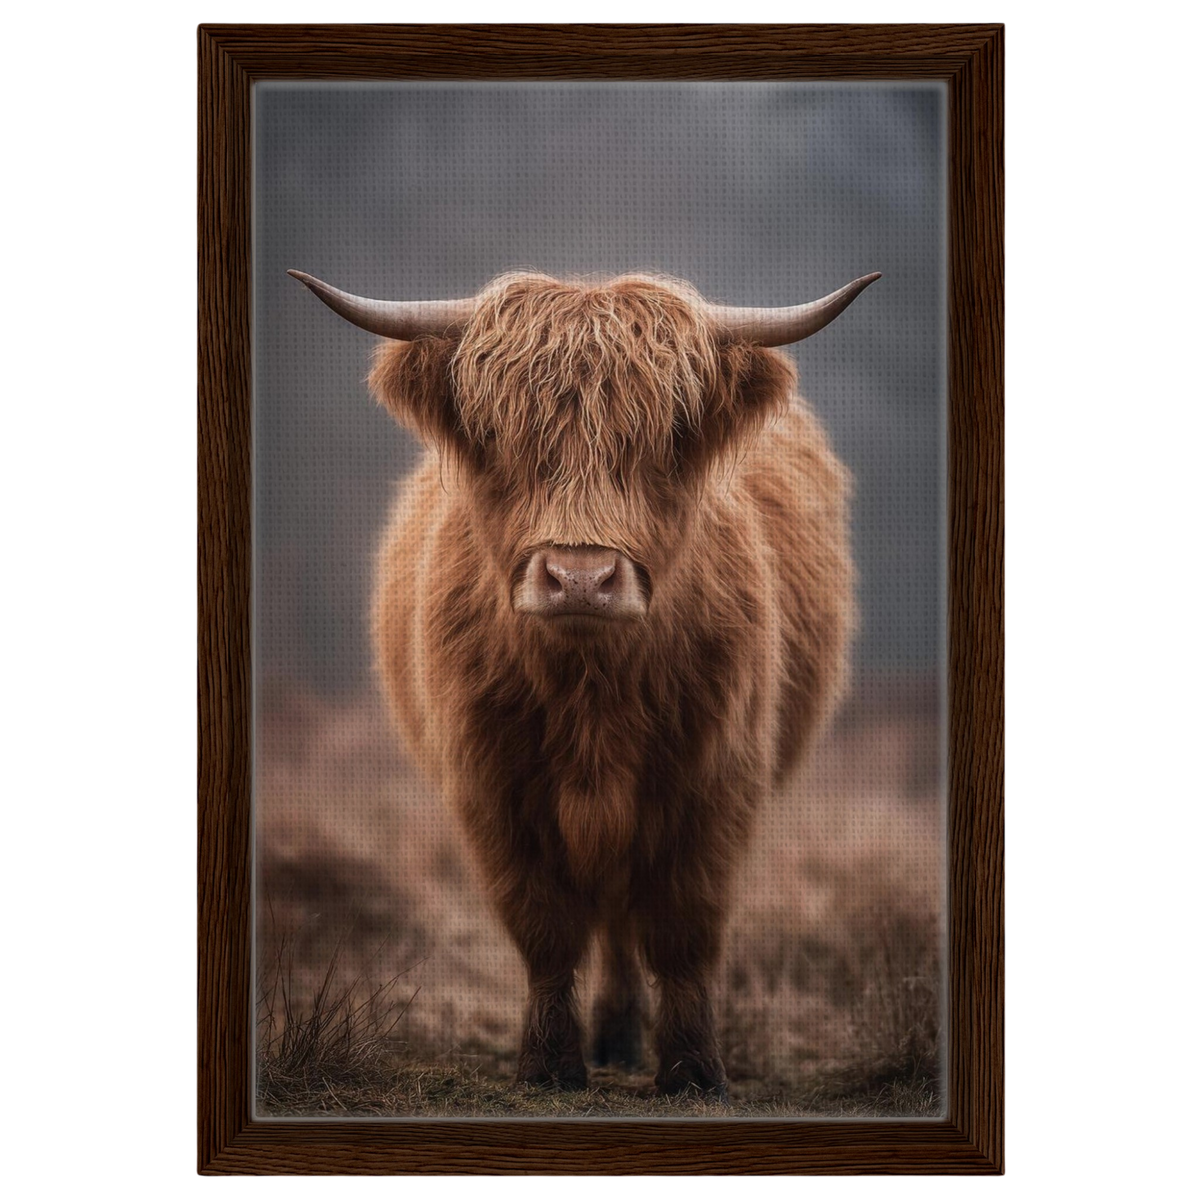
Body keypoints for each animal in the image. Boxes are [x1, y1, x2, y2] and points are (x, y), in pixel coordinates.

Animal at [289, 267, 878, 1098]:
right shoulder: (494, 788)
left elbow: (683, 929)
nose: (580, 579)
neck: (592, 694)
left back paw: (625, 1039)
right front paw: (548, 1064)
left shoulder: (715, 782)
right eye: (500, 436)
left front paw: (693, 1070)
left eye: (668, 439)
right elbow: (545, 928)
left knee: (627, 918)